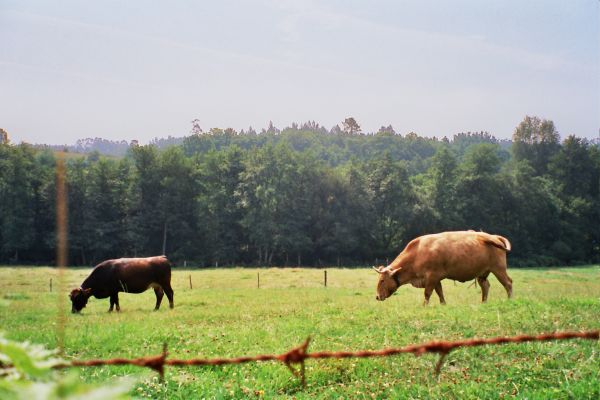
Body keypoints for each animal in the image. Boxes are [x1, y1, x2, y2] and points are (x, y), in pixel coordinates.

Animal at [376, 230, 510, 304]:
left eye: (382, 280)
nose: (377, 296)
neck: (417, 252)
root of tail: (494, 236)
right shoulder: (435, 279)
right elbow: (440, 293)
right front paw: (443, 304)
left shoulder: (432, 277)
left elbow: (427, 293)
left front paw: (424, 306)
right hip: (482, 273)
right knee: (485, 286)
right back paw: (483, 302)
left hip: (499, 269)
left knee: (508, 283)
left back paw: (510, 299)